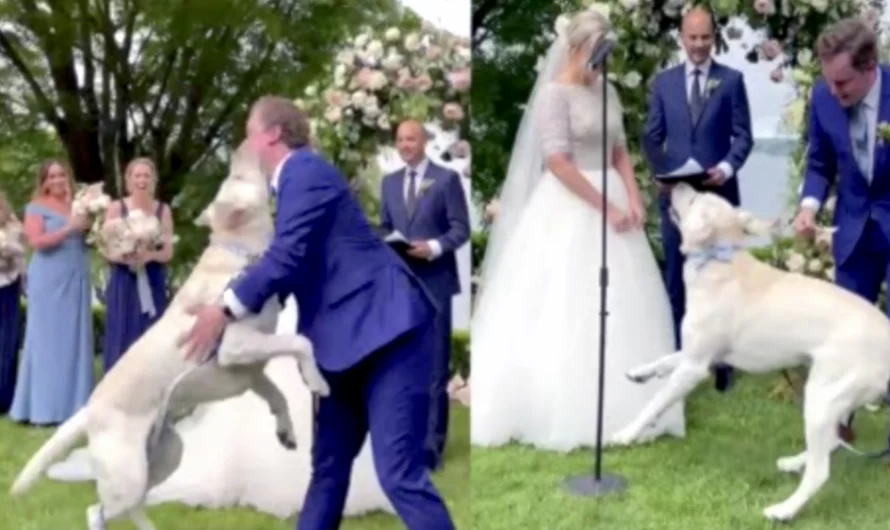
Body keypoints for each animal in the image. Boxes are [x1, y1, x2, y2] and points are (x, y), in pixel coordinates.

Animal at [6, 142, 332, 524]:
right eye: (237, 176)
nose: (242, 145)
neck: (238, 252)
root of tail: (89, 410)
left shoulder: (249, 372)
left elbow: (277, 394)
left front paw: (287, 431)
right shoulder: (235, 347)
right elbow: (300, 341)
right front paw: (317, 381)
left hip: (166, 454)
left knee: (133, 506)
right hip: (129, 474)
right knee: (97, 511)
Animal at [608, 182, 888, 520]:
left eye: (694, 199)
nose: (679, 183)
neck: (717, 259)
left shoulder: (695, 367)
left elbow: (656, 402)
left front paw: (627, 434)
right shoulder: (700, 355)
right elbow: (665, 360)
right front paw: (639, 372)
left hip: (822, 397)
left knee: (821, 470)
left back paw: (784, 510)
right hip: (831, 397)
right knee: (832, 442)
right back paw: (795, 462)